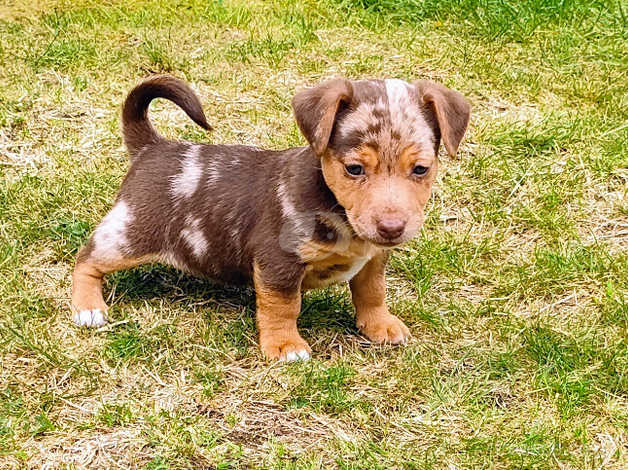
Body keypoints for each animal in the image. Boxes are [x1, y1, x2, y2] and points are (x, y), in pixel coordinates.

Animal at [71, 74, 468, 360]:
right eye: (354, 169)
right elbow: (283, 307)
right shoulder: (279, 262)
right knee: (86, 258)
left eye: (421, 169)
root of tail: (152, 147)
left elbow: (372, 292)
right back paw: (88, 308)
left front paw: (380, 325)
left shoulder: (373, 259)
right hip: (131, 233)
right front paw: (285, 346)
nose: (391, 228)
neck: (335, 206)